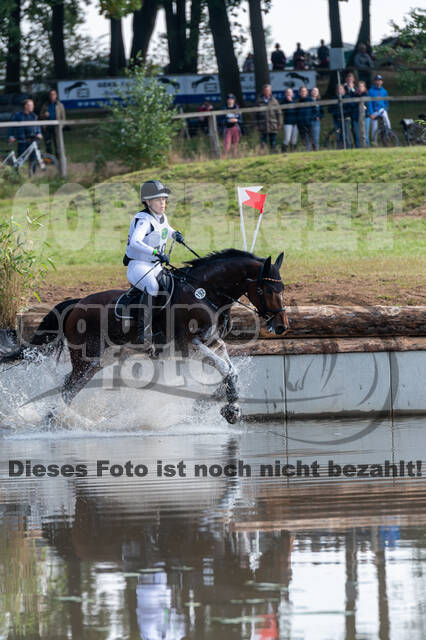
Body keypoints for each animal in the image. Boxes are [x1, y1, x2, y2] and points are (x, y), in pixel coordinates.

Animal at [1, 250, 288, 424]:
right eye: (266, 289)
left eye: (282, 288)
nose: (282, 326)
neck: (205, 292)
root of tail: (76, 304)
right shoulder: (191, 345)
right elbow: (226, 369)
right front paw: (226, 406)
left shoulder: (213, 343)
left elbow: (231, 369)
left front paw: (225, 404)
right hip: (88, 360)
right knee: (69, 388)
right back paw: (60, 421)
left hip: (102, 359)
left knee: (67, 386)